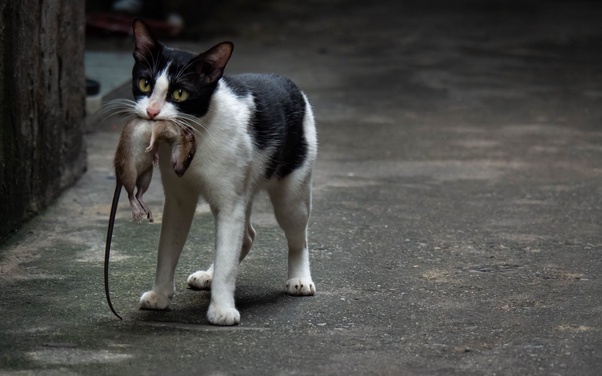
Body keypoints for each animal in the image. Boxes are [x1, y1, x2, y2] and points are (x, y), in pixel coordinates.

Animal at [113, 18, 318, 324]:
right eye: (144, 83)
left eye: (180, 92)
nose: (151, 112)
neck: (198, 130)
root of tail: (288, 83)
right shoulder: (178, 201)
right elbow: (167, 250)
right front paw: (160, 295)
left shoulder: (230, 202)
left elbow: (227, 260)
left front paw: (221, 308)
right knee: (245, 236)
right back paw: (208, 275)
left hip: (291, 194)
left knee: (297, 236)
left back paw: (299, 278)